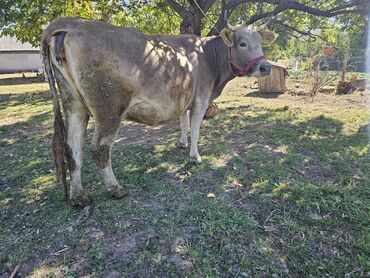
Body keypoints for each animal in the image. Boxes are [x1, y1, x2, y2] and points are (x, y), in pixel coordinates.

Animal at [42, 16, 276, 205]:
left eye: (260, 43)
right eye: (242, 43)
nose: (266, 67)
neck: (207, 56)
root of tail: (74, 23)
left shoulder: (184, 100)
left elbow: (183, 123)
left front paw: (182, 144)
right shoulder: (201, 99)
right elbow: (196, 129)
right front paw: (195, 156)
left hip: (74, 105)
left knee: (73, 148)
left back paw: (78, 196)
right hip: (108, 108)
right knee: (100, 148)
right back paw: (115, 189)